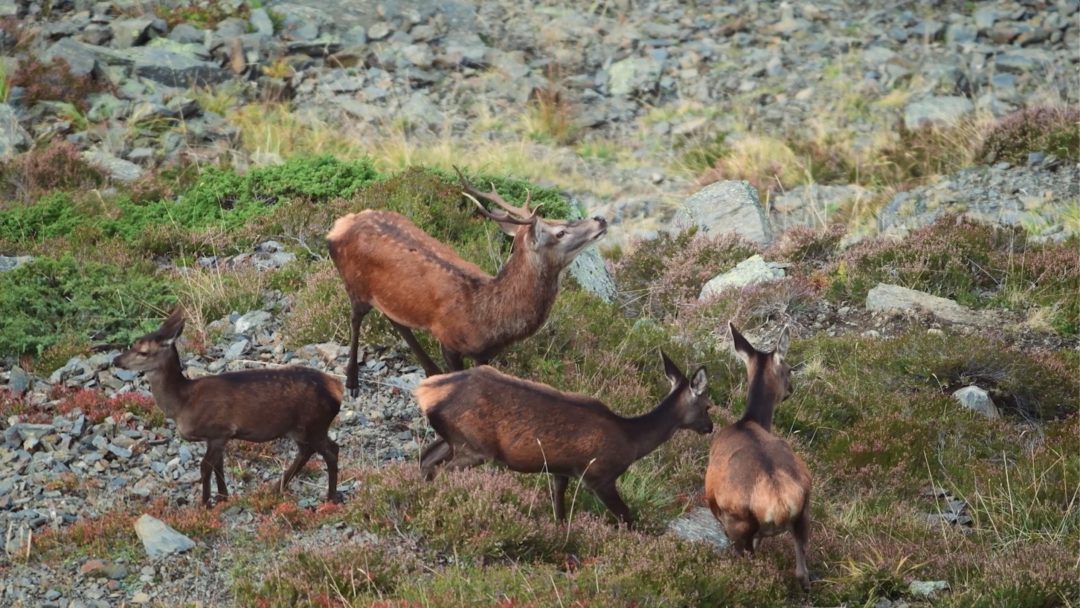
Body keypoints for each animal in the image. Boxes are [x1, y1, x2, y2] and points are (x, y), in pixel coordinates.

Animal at [113, 311, 341, 507]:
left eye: (143, 352)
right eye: (134, 343)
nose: (116, 360)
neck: (182, 404)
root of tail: (337, 390)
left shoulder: (219, 430)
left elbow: (205, 467)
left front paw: (206, 502)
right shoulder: (217, 437)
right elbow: (218, 466)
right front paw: (223, 496)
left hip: (315, 423)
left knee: (331, 451)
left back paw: (330, 498)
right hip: (298, 428)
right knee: (307, 451)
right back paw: (276, 488)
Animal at [324, 166, 609, 397]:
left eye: (561, 220)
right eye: (560, 232)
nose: (601, 219)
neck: (488, 317)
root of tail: (338, 225)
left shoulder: (484, 354)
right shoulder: (449, 340)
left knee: (396, 320)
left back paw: (430, 370)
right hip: (354, 283)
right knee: (356, 319)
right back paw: (351, 381)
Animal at [410, 352, 708, 529]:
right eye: (708, 405)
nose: (711, 426)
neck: (632, 441)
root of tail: (426, 391)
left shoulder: (560, 469)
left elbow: (559, 507)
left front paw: (561, 534)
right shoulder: (598, 475)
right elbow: (626, 516)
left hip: (456, 438)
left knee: (426, 458)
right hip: (476, 446)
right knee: (440, 469)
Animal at [704, 323, 812, 591]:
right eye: (789, 370)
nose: (791, 390)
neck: (750, 421)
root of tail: (780, 502)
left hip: (737, 521)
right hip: (804, 511)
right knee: (801, 572)